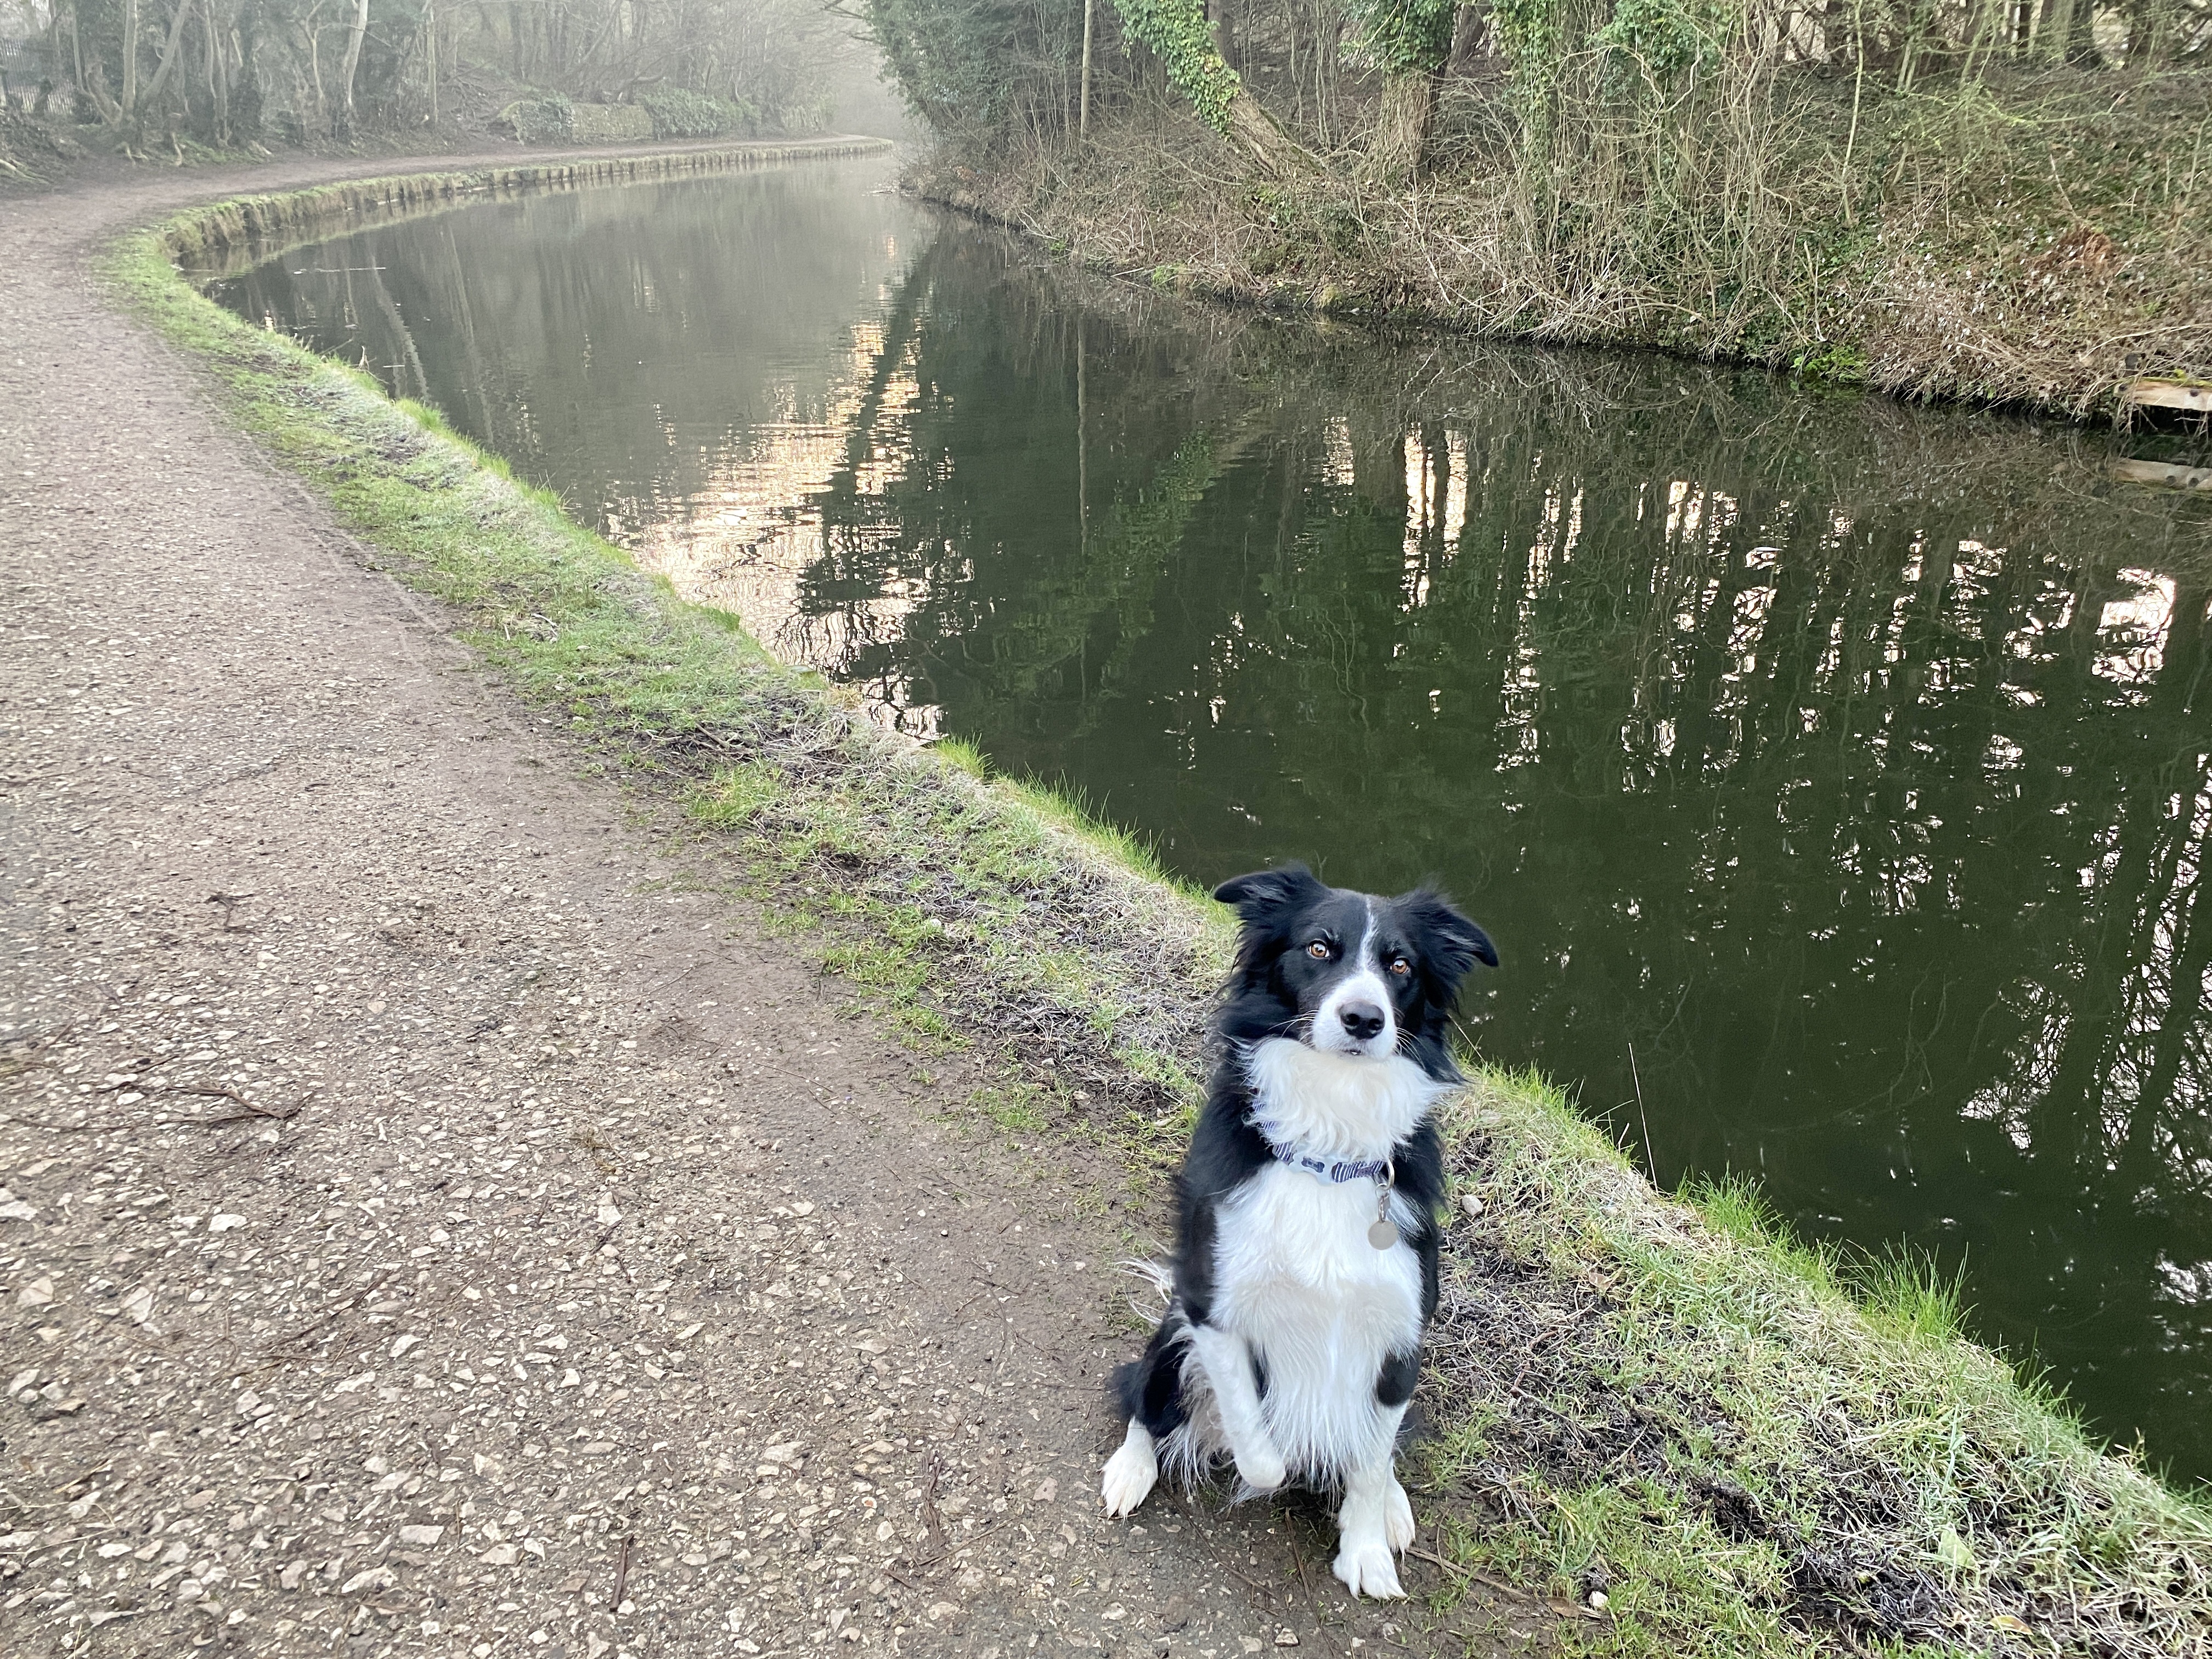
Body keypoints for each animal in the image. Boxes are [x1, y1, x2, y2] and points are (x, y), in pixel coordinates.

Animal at [1097, 871, 1495, 1601]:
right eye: (1318, 948)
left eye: (1401, 966)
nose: (1364, 1019)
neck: (1328, 1147)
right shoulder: (1214, 1309)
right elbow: (1262, 1449)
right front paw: (1283, 1464)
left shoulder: (1400, 1332)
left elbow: (1368, 1460)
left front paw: (1365, 1549)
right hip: (1171, 1333)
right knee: (1145, 1398)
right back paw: (1132, 1469)